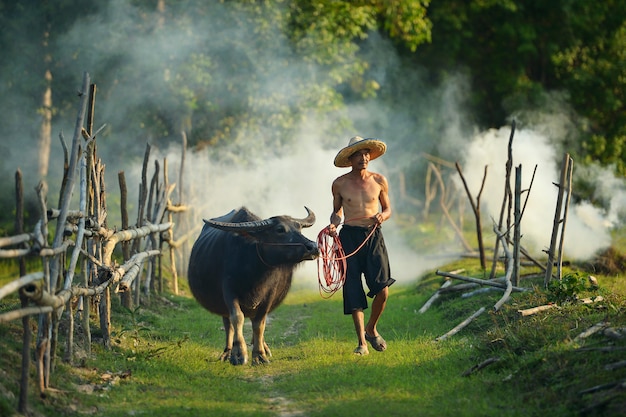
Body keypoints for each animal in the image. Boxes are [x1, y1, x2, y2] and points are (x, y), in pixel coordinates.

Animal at [186, 206, 316, 364]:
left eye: (299, 228)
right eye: (279, 229)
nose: (313, 246)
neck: (254, 272)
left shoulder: (269, 295)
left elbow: (259, 324)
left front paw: (259, 354)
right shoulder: (228, 291)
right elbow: (237, 318)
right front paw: (239, 354)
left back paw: (264, 347)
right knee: (228, 323)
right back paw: (226, 353)